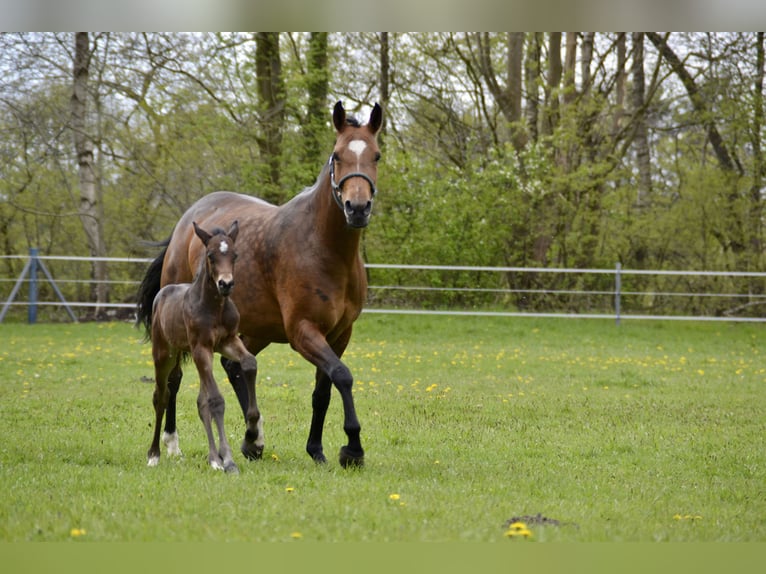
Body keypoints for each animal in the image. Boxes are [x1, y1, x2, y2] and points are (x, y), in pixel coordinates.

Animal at [146, 218, 262, 474]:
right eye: (210, 255)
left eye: (235, 255)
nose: (226, 284)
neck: (214, 306)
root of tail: (162, 293)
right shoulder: (202, 347)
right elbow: (216, 400)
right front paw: (227, 460)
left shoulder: (227, 341)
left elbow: (249, 363)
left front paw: (251, 431)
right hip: (164, 354)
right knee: (160, 396)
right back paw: (154, 455)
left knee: (199, 401)